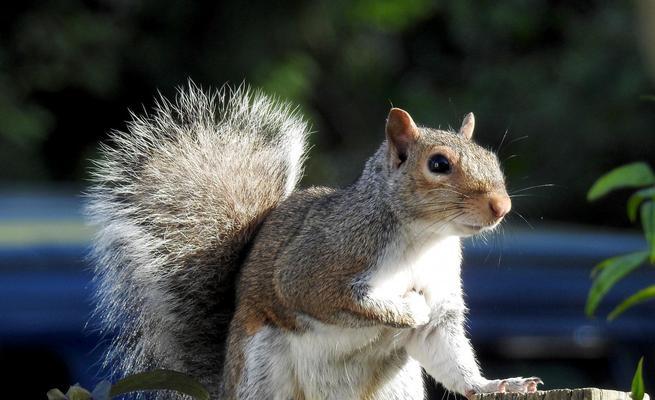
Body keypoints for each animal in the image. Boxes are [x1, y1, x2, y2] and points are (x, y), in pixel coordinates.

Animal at [87, 83, 544, 398]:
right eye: (438, 164)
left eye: (492, 158)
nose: (501, 206)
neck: (425, 239)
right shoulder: (318, 263)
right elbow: (331, 297)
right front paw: (407, 308)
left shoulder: (441, 297)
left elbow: (446, 353)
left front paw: (495, 385)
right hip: (262, 367)